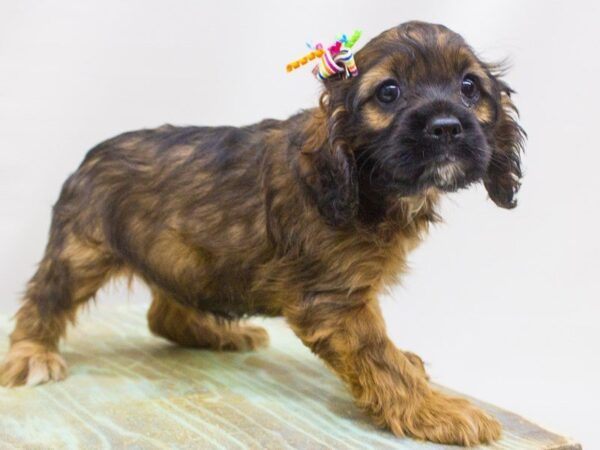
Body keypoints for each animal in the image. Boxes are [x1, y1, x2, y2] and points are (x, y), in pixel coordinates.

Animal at [0, 21, 524, 446]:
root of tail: (91, 155)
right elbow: (381, 360)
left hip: (185, 258)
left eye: (469, 87)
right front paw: (439, 411)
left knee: (163, 314)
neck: (362, 178)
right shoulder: (333, 302)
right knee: (44, 299)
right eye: (389, 92)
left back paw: (218, 333)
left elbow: (388, 356)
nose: (446, 127)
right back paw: (31, 354)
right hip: (81, 250)